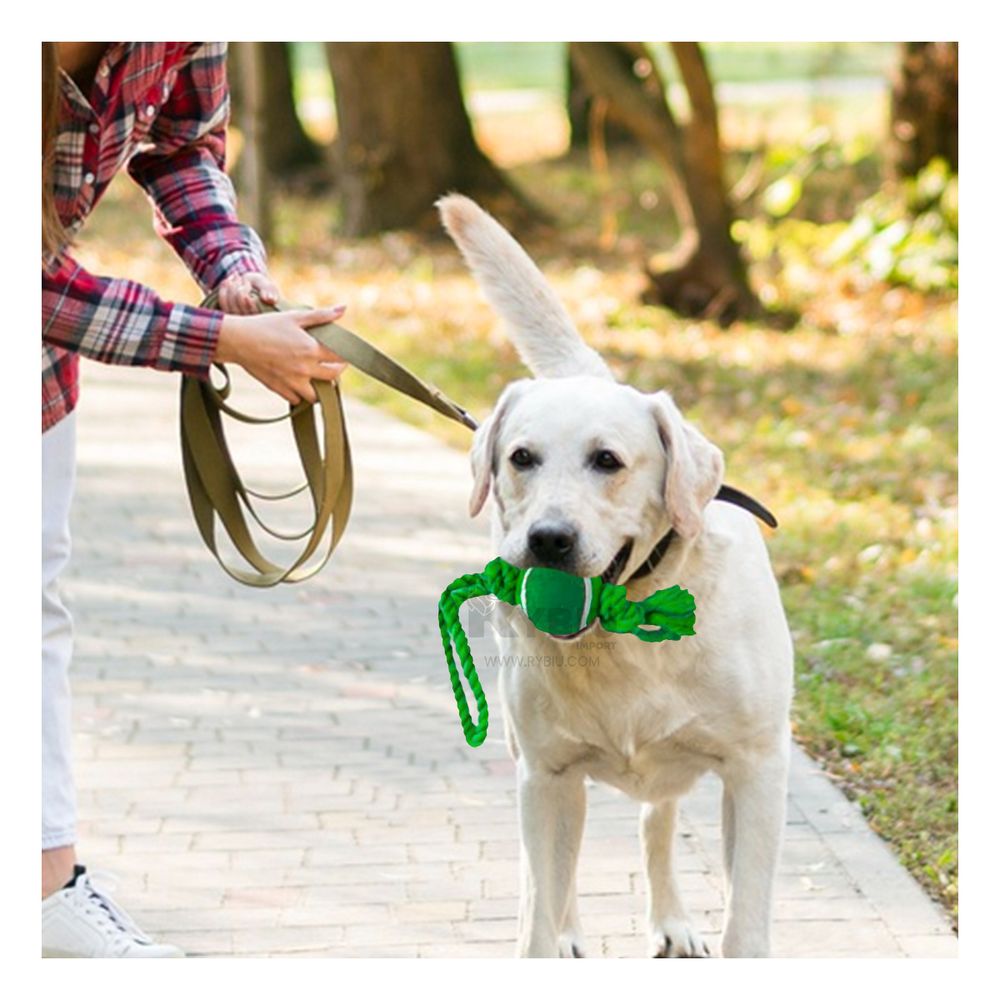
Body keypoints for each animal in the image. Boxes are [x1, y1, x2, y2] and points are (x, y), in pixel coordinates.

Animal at [442, 195, 792, 960]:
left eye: (607, 460)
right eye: (521, 457)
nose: (548, 539)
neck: (626, 631)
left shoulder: (757, 770)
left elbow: (747, 925)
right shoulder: (544, 775)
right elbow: (538, 915)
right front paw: (551, 934)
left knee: (655, 818)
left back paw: (673, 920)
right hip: (532, 762)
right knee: (552, 873)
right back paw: (578, 927)